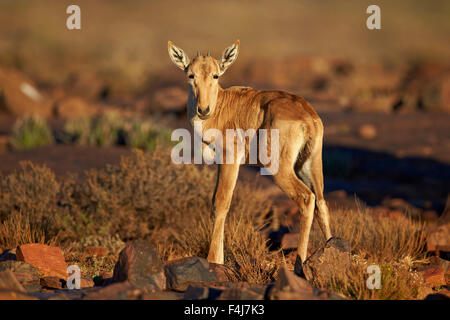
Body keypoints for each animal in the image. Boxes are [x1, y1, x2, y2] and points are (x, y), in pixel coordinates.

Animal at [167, 39, 332, 276]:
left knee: (306, 198)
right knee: (321, 202)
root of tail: (308, 117)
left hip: (278, 169)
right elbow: (215, 201)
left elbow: (221, 202)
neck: (223, 105)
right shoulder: (221, 163)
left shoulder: (231, 160)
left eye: (216, 75)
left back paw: (299, 265)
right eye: (191, 74)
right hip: (309, 165)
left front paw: (214, 260)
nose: (203, 109)